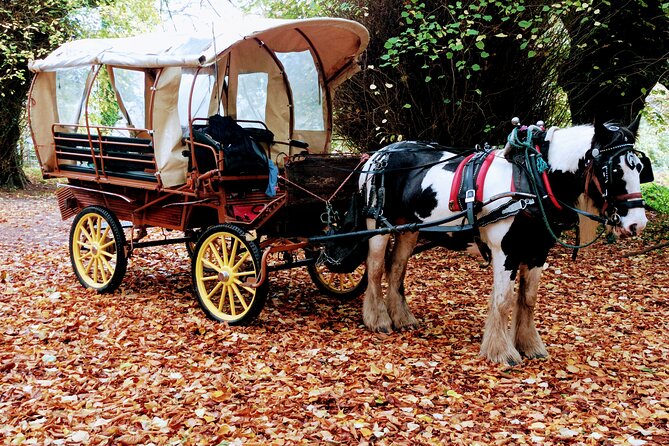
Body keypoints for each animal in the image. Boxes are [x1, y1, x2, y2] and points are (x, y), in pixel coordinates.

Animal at [358, 118, 648, 366]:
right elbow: (504, 300)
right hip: (377, 225)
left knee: (396, 268)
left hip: (408, 229)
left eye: (640, 168)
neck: (532, 181)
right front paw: (501, 351)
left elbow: (528, 299)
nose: (638, 223)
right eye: (613, 169)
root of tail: (378, 154)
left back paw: (402, 318)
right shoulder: (505, 252)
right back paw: (378, 319)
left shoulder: (537, 252)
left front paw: (530, 345)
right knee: (375, 269)